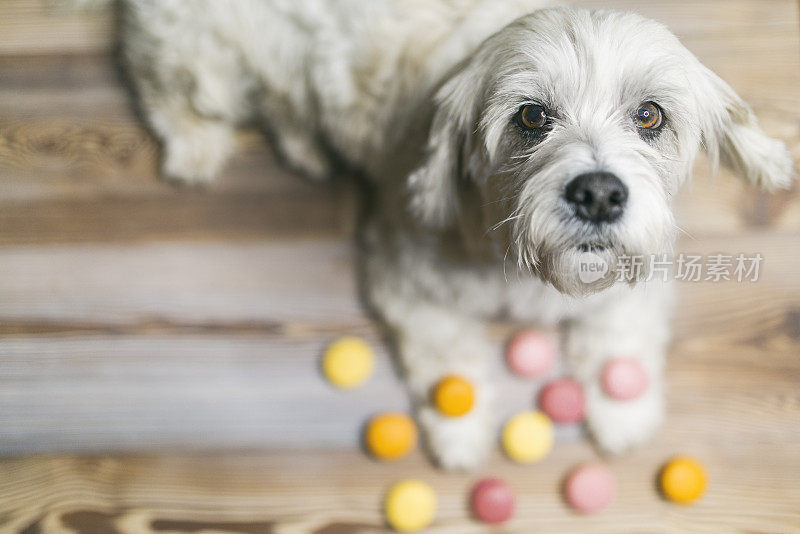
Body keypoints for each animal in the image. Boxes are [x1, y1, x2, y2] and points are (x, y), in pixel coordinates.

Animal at [119, 0, 792, 468]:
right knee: (167, 94)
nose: (599, 194)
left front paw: (622, 410)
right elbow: (453, 368)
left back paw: (305, 145)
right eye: (532, 116)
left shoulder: (638, 275)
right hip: (199, 61)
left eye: (649, 114)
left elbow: (617, 341)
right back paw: (196, 148)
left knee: (283, 106)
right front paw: (461, 432)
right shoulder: (406, 282)